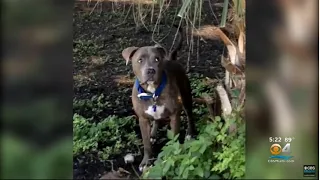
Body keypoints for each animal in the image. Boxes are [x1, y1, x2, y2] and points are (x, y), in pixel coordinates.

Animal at [121, 25, 196, 172]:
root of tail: (171, 58)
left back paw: (190, 133)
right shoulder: (143, 119)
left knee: (189, 115)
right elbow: (145, 143)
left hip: (186, 97)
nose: (151, 70)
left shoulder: (174, 115)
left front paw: (173, 156)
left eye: (157, 59)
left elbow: (174, 138)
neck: (152, 92)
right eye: (140, 60)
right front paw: (146, 162)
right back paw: (153, 135)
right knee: (156, 120)